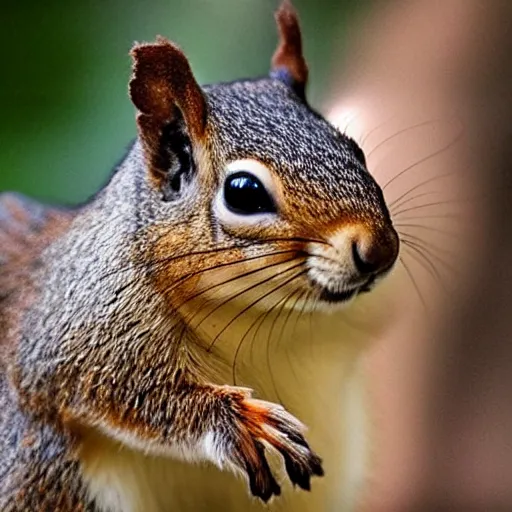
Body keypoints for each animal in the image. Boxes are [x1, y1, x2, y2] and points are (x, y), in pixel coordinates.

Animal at [0, 2, 400, 510]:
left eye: (355, 150)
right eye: (244, 192)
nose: (380, 248)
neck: (263, 320)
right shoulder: (77, 317)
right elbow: (107, 383)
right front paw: (236, 419)